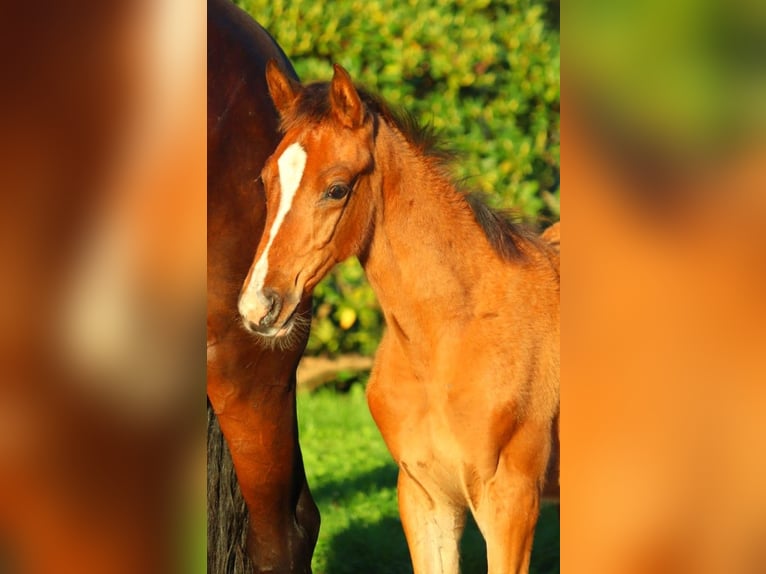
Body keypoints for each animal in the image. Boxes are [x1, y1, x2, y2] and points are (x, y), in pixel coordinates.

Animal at [238, 63, 560, 574]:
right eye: (267, 179)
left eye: (337, 188)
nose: (258, 307)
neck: (450, 338)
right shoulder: (423, 496)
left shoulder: (511, 502)